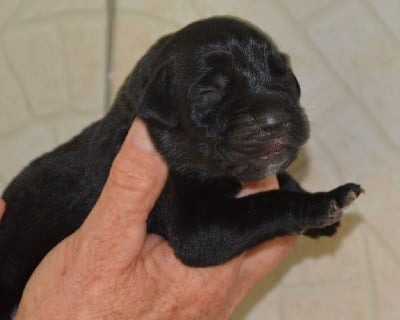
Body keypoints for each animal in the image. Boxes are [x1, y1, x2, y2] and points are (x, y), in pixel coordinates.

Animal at [0, 16, 362, 318]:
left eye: (283, 74)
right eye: (209, 91)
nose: (275, 119)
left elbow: (282, 181)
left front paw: (323, 201)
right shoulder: (196, 229)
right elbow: (265, 203)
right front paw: (319, 205)